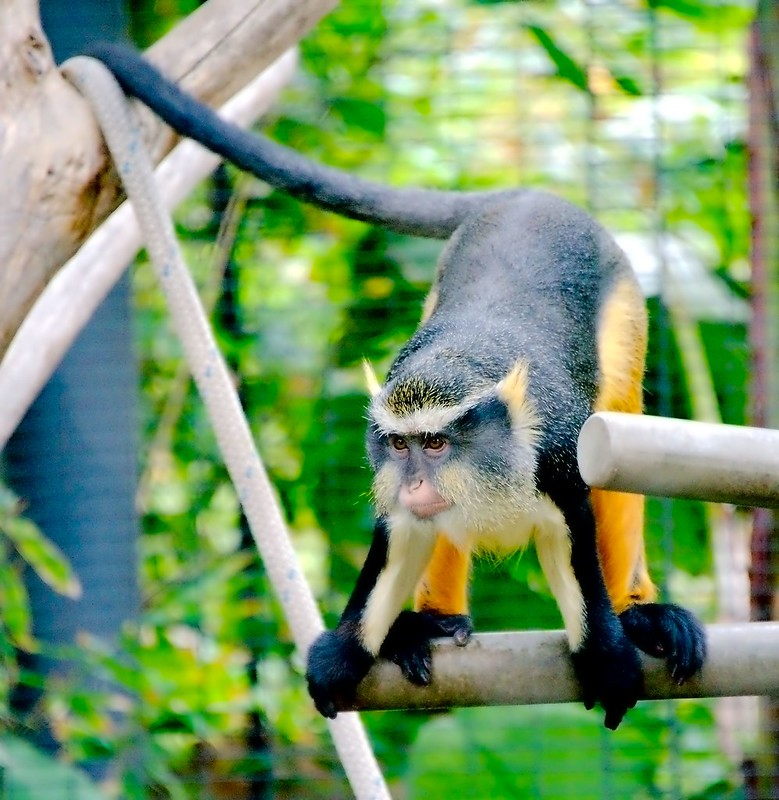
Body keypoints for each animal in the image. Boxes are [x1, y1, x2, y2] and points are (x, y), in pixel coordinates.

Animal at [85, 43, 707, 729]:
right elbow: (399, 538)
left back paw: (638, 612)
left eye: (437, 446)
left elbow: (577, 539)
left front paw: (609, 656)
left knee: (620, 412)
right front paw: (341, 654)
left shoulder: (558, 460)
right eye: (402, 447)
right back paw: (432, 623)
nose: (415, 483)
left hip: (623, 311)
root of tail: (529, 199)